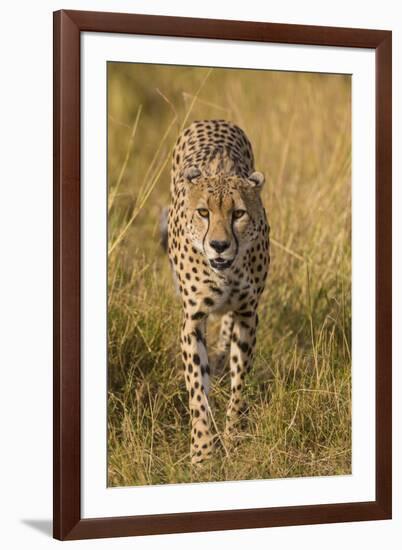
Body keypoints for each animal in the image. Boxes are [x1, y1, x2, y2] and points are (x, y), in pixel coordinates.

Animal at [166, 121, 270, 466]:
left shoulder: (248, 314)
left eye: (238, 213)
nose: (220, 245)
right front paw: (202, 452)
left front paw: (233, 438)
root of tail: (213, 120)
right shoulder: (193, 319)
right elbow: (198, 390)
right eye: (203, 212)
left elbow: (239, 384)